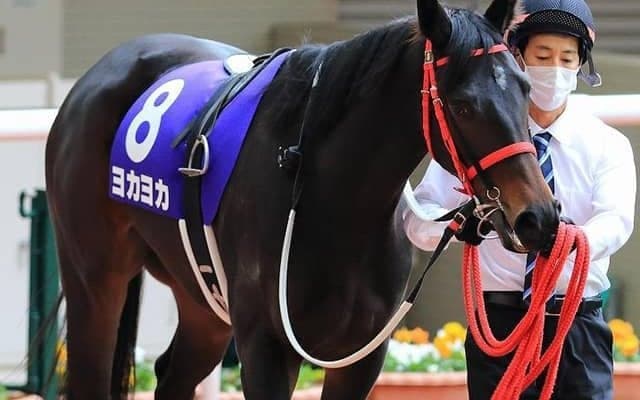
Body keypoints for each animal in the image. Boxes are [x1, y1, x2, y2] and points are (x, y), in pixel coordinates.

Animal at [44, 0, 560, 398]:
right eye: (463, 105)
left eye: (525, 87)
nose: (537, 217)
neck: (333, 201)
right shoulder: (265, 347)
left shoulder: (360, 357)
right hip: (94, 280)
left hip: (204, 304)